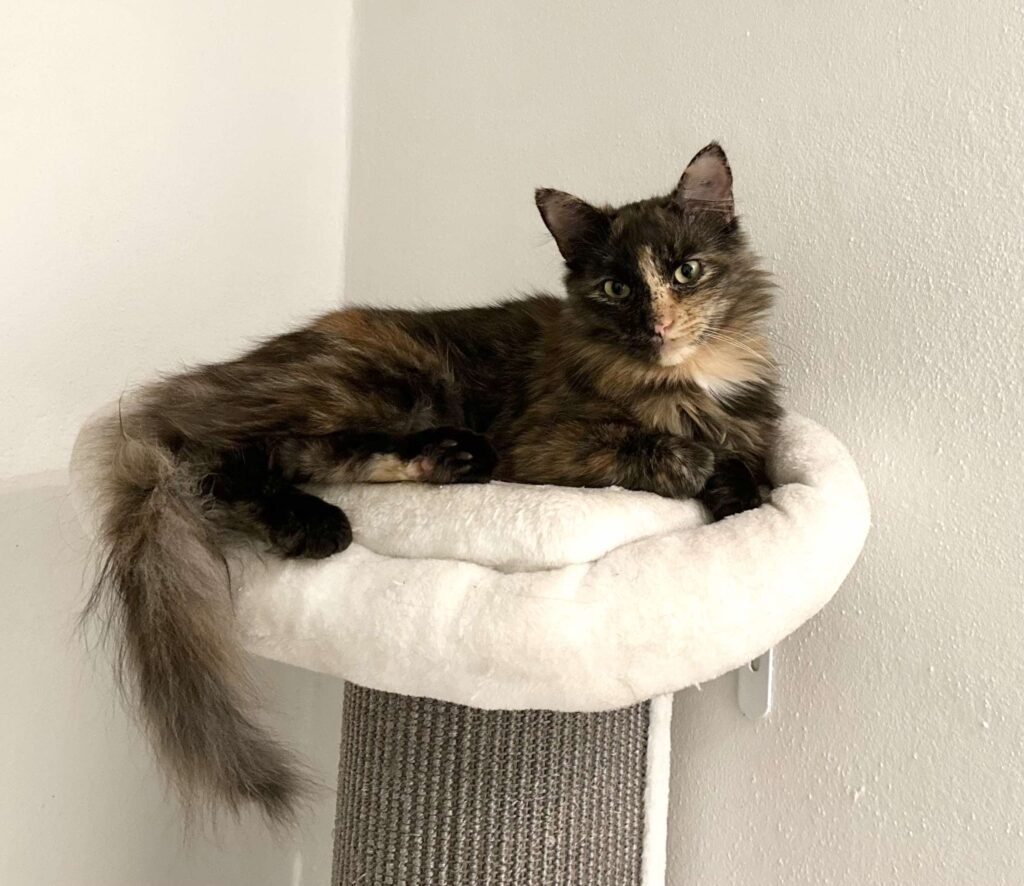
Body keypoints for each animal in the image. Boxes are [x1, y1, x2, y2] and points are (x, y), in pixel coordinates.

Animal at [84, 142, 780, 823]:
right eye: (615, 287)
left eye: (686, 271)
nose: (658, 326)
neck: (686, 381)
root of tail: (207, 386)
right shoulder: (543, 441)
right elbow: (674, 451)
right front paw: (704, 470)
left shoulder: (754, 427)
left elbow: (751, 466)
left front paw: (738, 495)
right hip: (389, 380)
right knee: (226, 463)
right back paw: (316, 523)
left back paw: (440, 461)